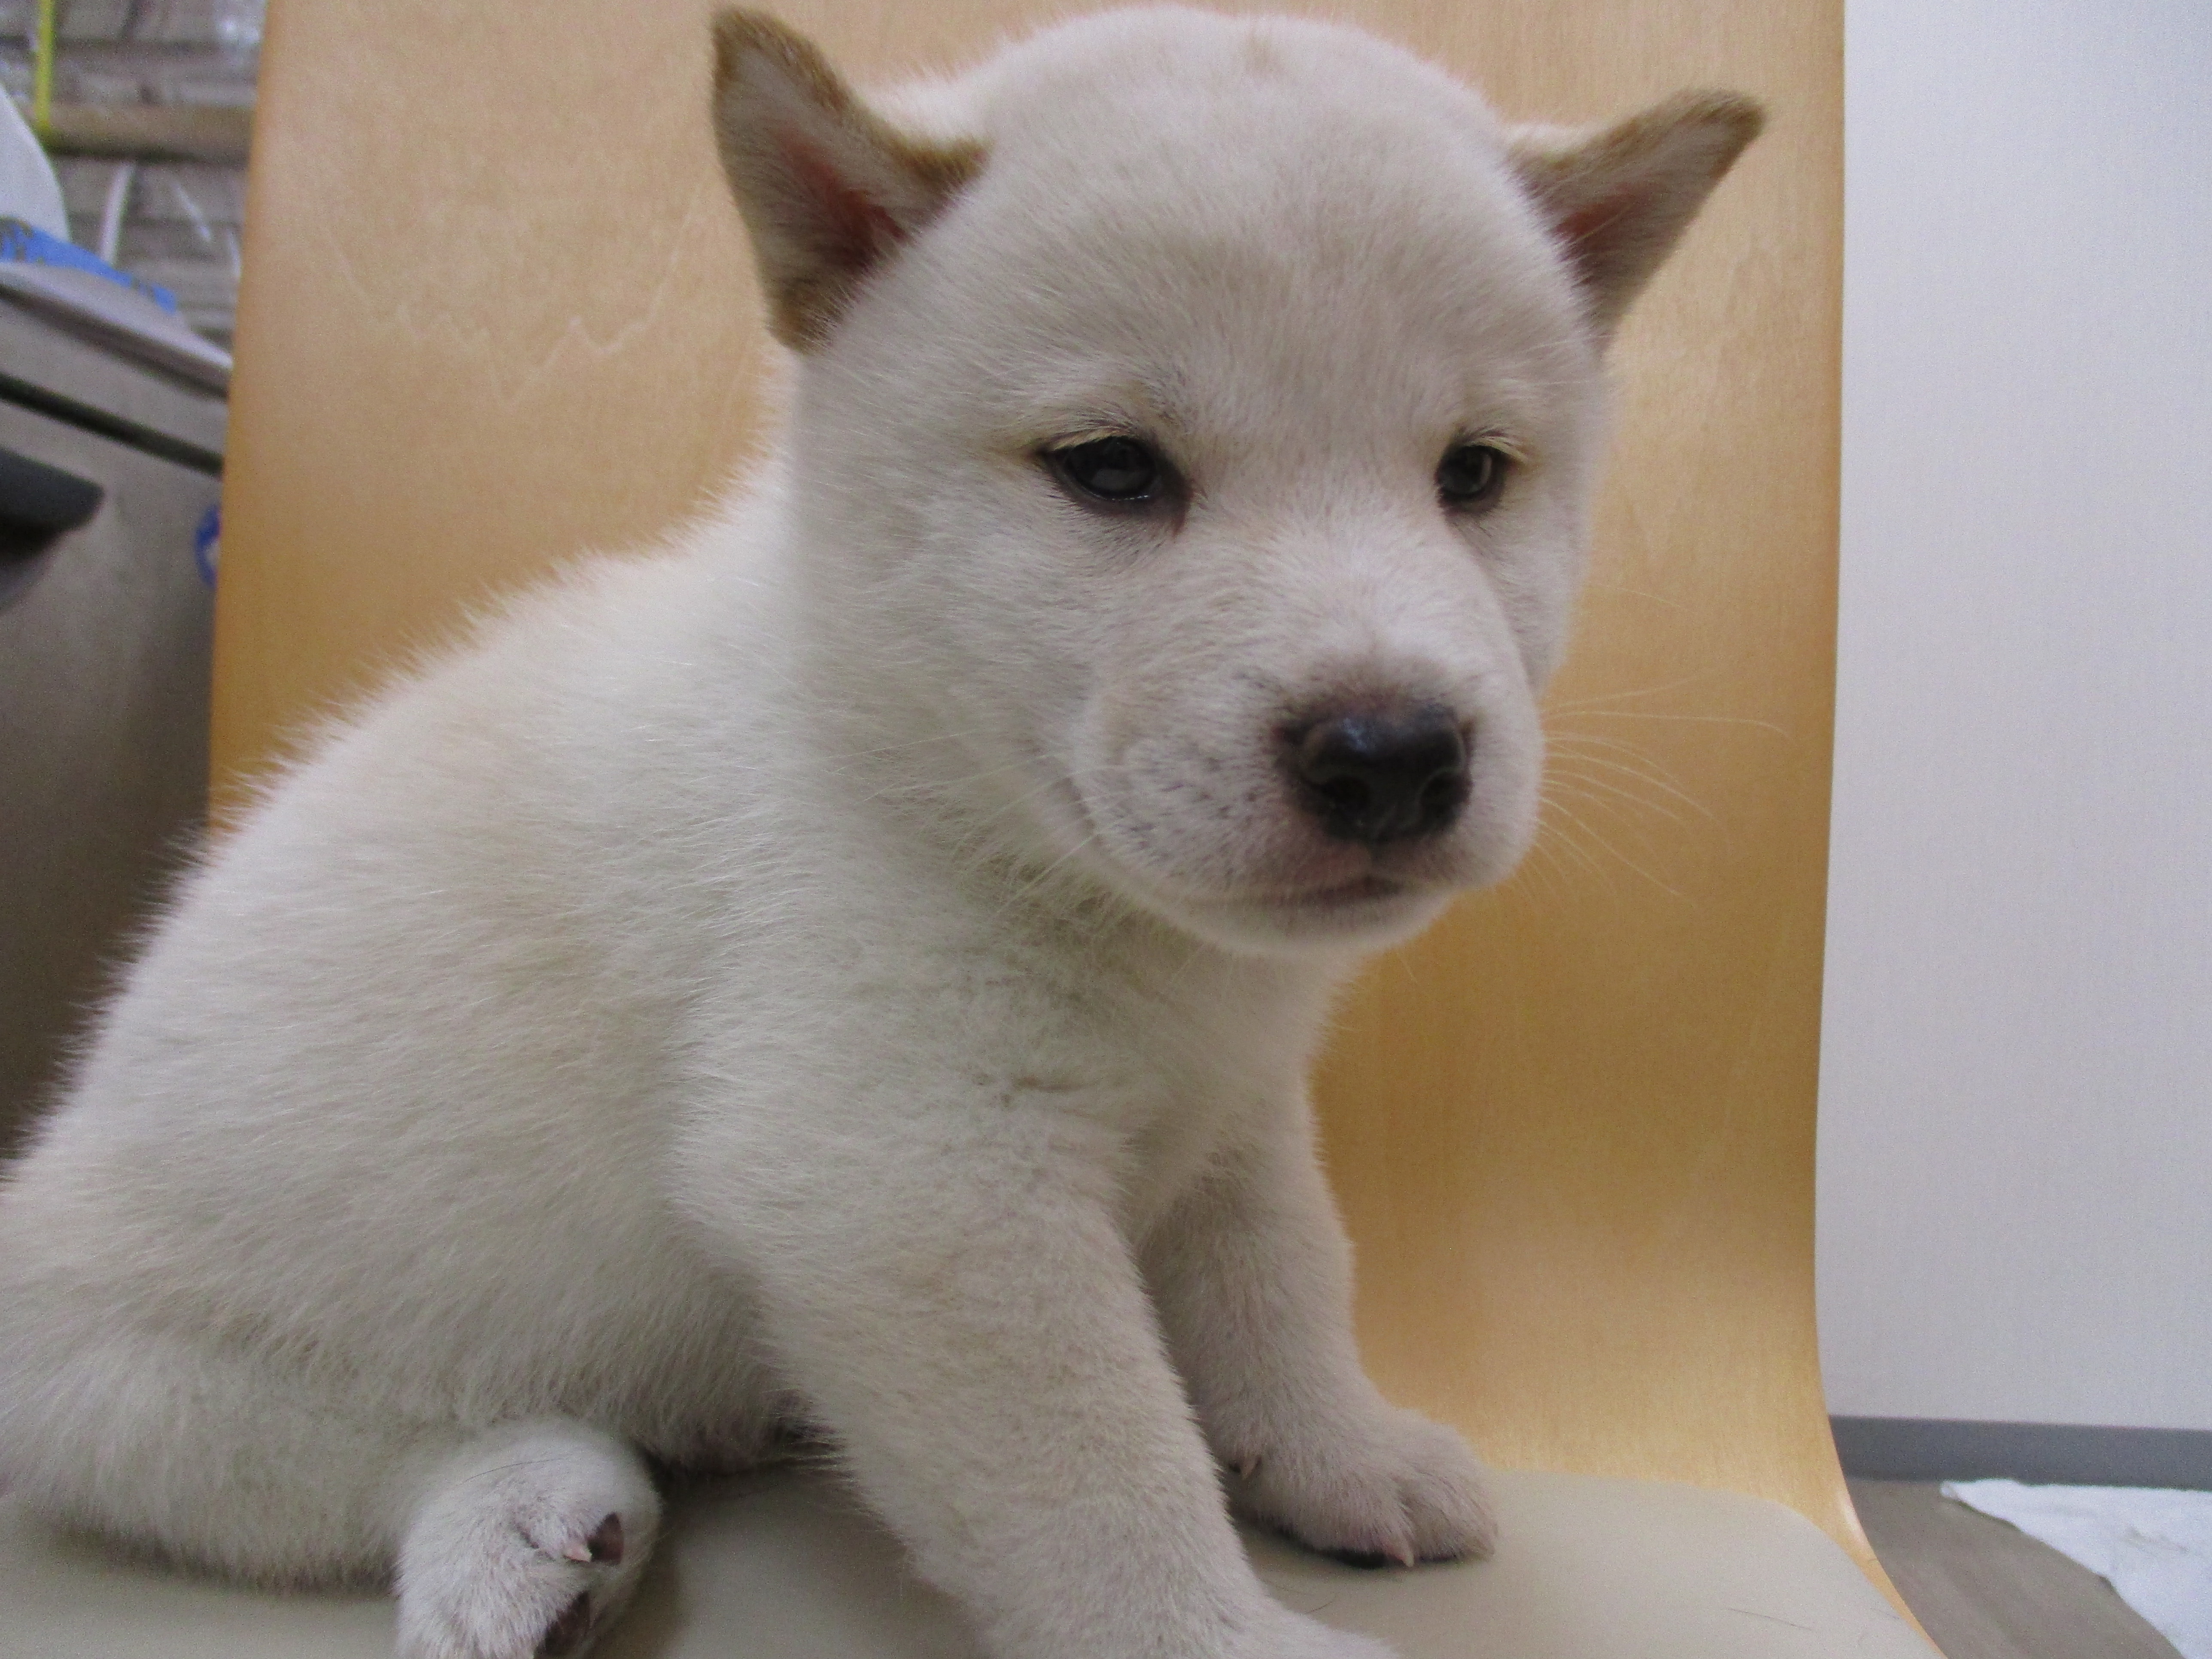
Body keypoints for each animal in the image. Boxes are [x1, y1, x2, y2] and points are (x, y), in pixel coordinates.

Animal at [0, 6, 1760, 1654]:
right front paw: (1223, 1633)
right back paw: (516, 1519)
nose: (1393, 753)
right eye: (1111, 471)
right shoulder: (914, 1182)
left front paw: (1345, 1453)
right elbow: (1106, 1479)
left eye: (1473, 474)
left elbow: (1282, 1291)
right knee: (367, 1453)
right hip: (116, 1374)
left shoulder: (1238, 1116)